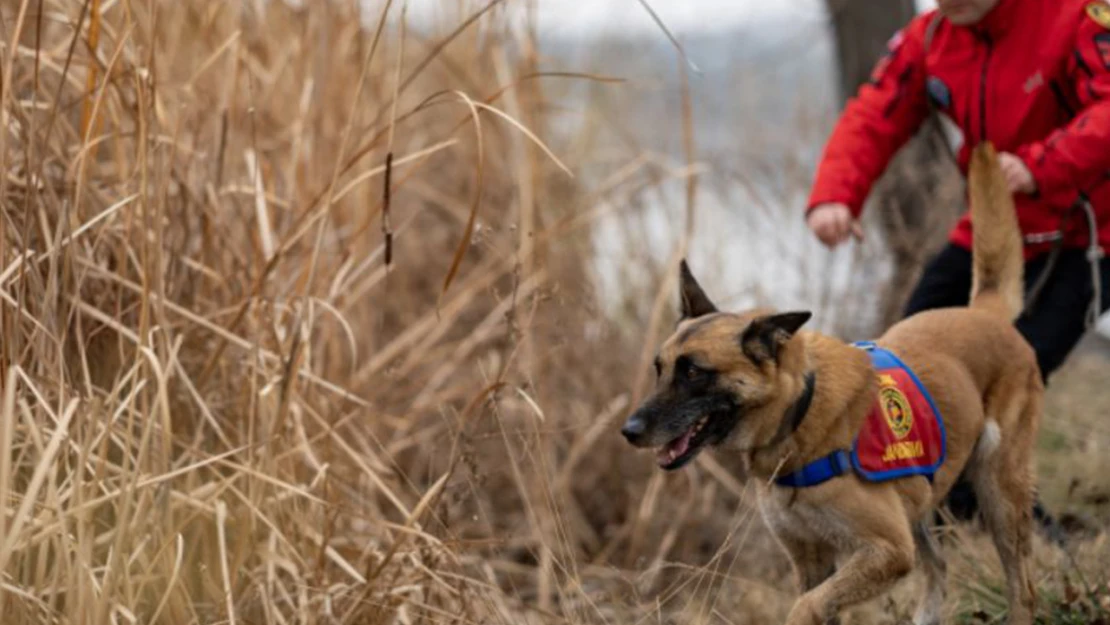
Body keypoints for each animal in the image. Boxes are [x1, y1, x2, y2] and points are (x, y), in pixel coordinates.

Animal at [621, 143, 1043, 625]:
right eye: (659, 368)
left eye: (693, 372)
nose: (629, 431)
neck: (799, 414)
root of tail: (984, 313)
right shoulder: (814, 559)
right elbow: (819, 596)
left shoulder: (887, 551)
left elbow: (806, 606)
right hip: (921, 505)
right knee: (938, 567)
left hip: (1000, 495)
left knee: (1022, 588)